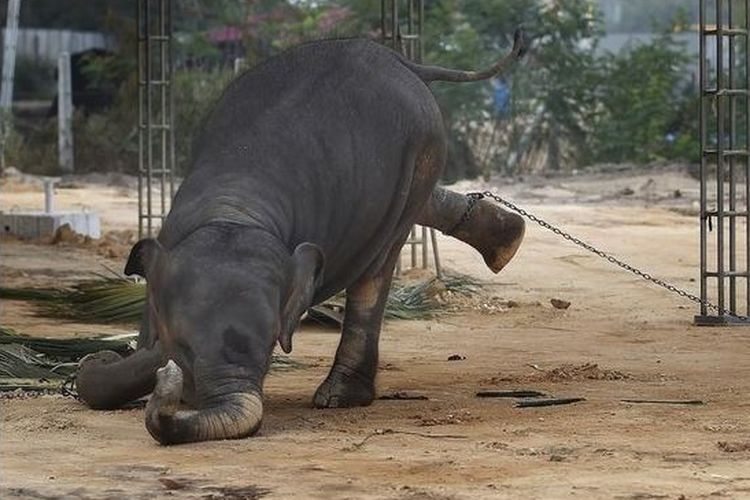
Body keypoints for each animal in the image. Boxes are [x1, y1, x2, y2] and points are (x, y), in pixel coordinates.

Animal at [73, 31, 524, 446]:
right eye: (181, 346)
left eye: (272, 346)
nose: (170, 381)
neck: (234, 210)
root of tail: (404, 61)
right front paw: (107, 362)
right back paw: (509, 240)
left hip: (420, 157)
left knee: (376, 271)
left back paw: (337, 398)